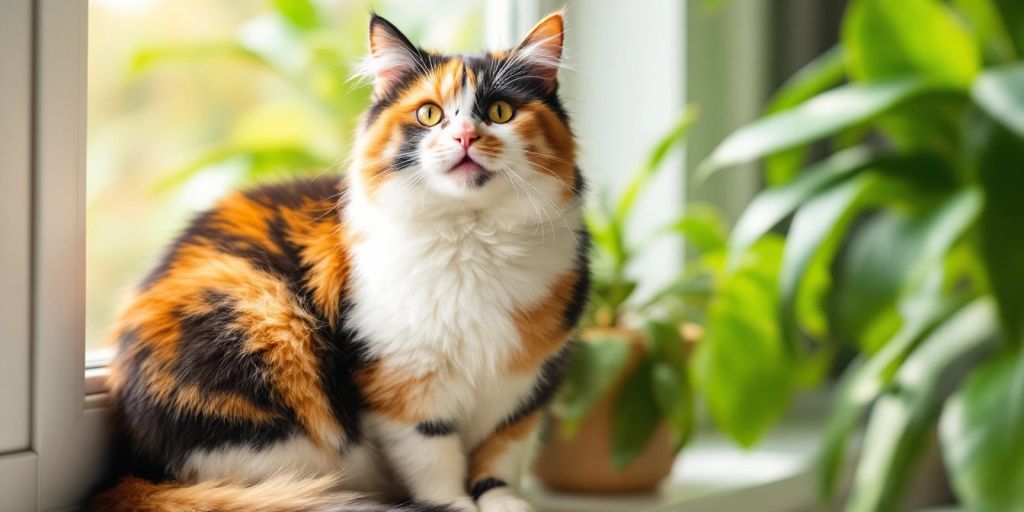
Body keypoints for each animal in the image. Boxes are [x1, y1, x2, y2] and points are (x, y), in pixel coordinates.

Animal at [92, 9, 589, 512]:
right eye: (429, 114)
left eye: (500, 112)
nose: (466, 135)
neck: (472, 242)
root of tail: (140, 468)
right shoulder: (401, 385)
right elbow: (436, 463)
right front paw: (452, 505)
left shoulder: (530, 387)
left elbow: (501, 456)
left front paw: (504, 501)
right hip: (263, 339)